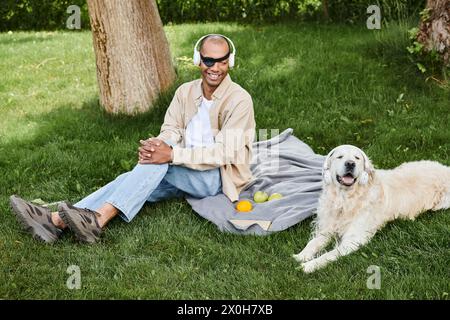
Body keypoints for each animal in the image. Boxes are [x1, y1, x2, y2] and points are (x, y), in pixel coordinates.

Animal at [294, 145, 448, 272]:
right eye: (340, 156)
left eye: (357, 158)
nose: (350, 163)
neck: (345, 198)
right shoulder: (326, 228)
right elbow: (313, 243)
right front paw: (301, 256)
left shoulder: (353, 239)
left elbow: (329, 254)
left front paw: (309, 265)